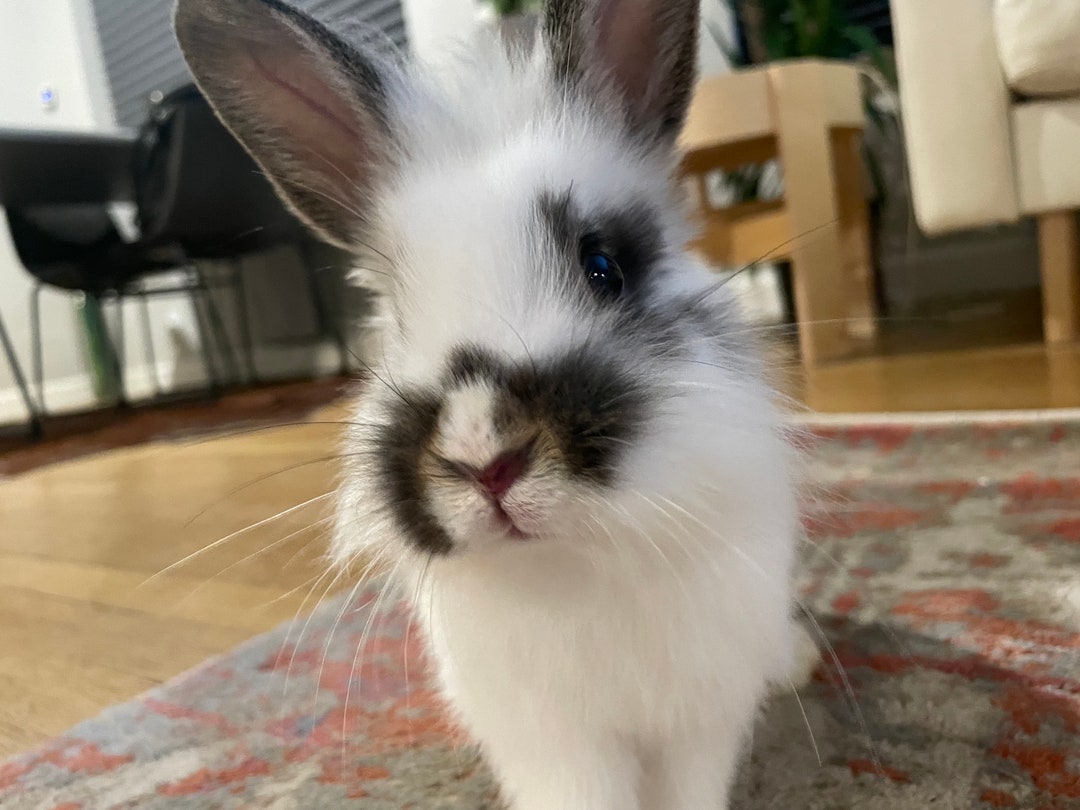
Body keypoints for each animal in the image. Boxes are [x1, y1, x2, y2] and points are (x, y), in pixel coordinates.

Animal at [174, 0, 807, 807]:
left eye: (604, 267)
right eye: (396, 319)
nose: (484, 457)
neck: (571, 563)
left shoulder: (698, 722)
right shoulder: (551, 744)